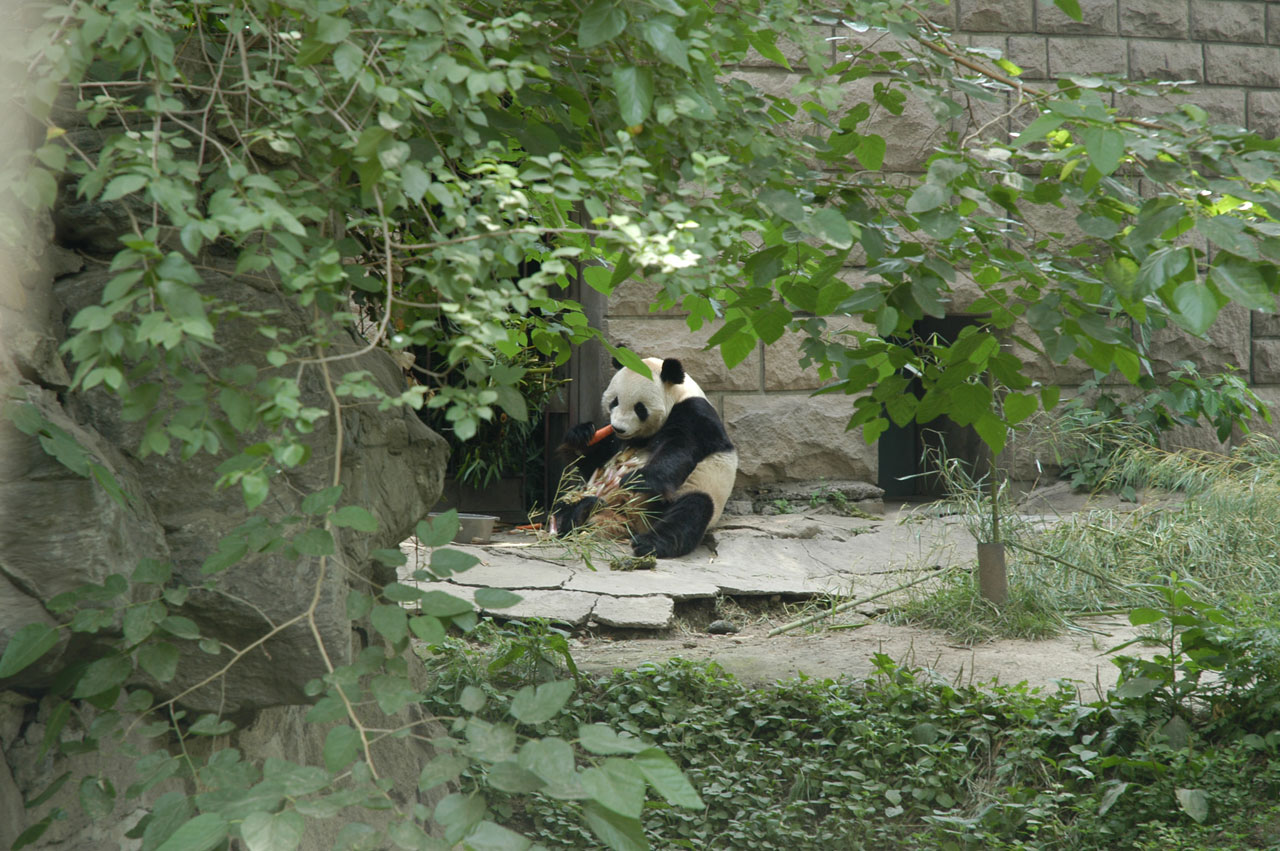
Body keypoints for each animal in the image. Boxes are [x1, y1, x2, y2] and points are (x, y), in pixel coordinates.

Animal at [552, 355, 742, 557]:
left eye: (640, 408)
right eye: (614, 401)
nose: (619, 428)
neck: (679, 396)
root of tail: (632, 520)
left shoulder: (695, 416)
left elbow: (679, 450)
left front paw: (636, 480)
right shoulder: (618, 439)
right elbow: (594, 461)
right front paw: (581, 435)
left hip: (695, 490)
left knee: (690, 512)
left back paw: (648, 544)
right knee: (564, 503)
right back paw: (578, 514)